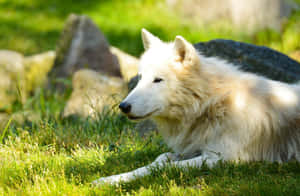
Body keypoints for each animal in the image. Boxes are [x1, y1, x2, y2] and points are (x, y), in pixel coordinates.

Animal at [92, 29, 298, 185]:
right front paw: (110, 180)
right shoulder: (191, 150)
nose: (123, 106)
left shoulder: (222, 158)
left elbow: (166, 166)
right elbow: (159, 160)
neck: (213, 103)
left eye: (158, 80)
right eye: (141, 78)